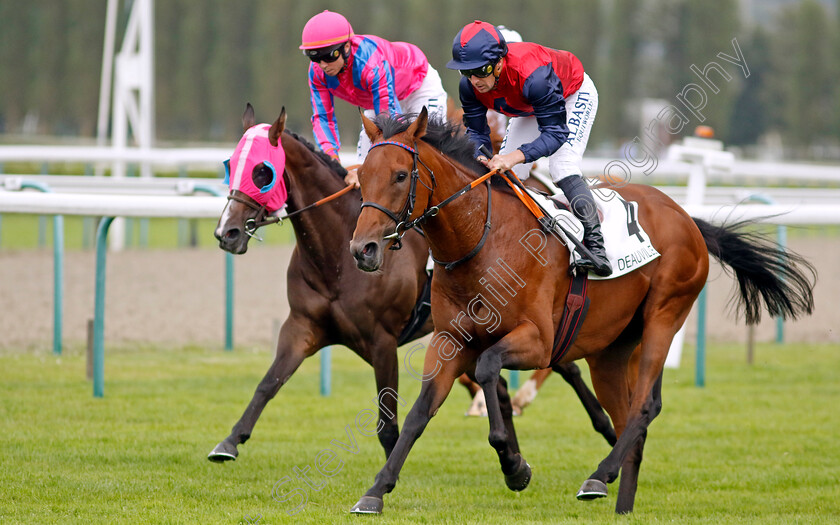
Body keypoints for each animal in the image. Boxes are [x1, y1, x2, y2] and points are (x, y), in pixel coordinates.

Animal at [207, 105, 612, 462]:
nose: (227, 232)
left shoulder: (382, 340)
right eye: (230, 164)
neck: (335, 259)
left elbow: (388, 423)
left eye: (262, 172)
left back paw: (603, 427)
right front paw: (229, 442)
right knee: (501, 387)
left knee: (565, 367)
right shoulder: (302, 326)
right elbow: (268, 383)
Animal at [346, 108, 812, 512]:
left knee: (645, 406)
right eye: (362, 176)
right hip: (611, 351)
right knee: (627, 418)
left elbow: (488, 367)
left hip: (665, 315)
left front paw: (514, 465)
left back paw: (598, 476)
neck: (482, 242)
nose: (362, 249)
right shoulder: (448, 340)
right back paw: (621, 502)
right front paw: (375, 491)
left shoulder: (538, 341)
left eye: (400, 175)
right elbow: (419, 412)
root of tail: (687, 218)